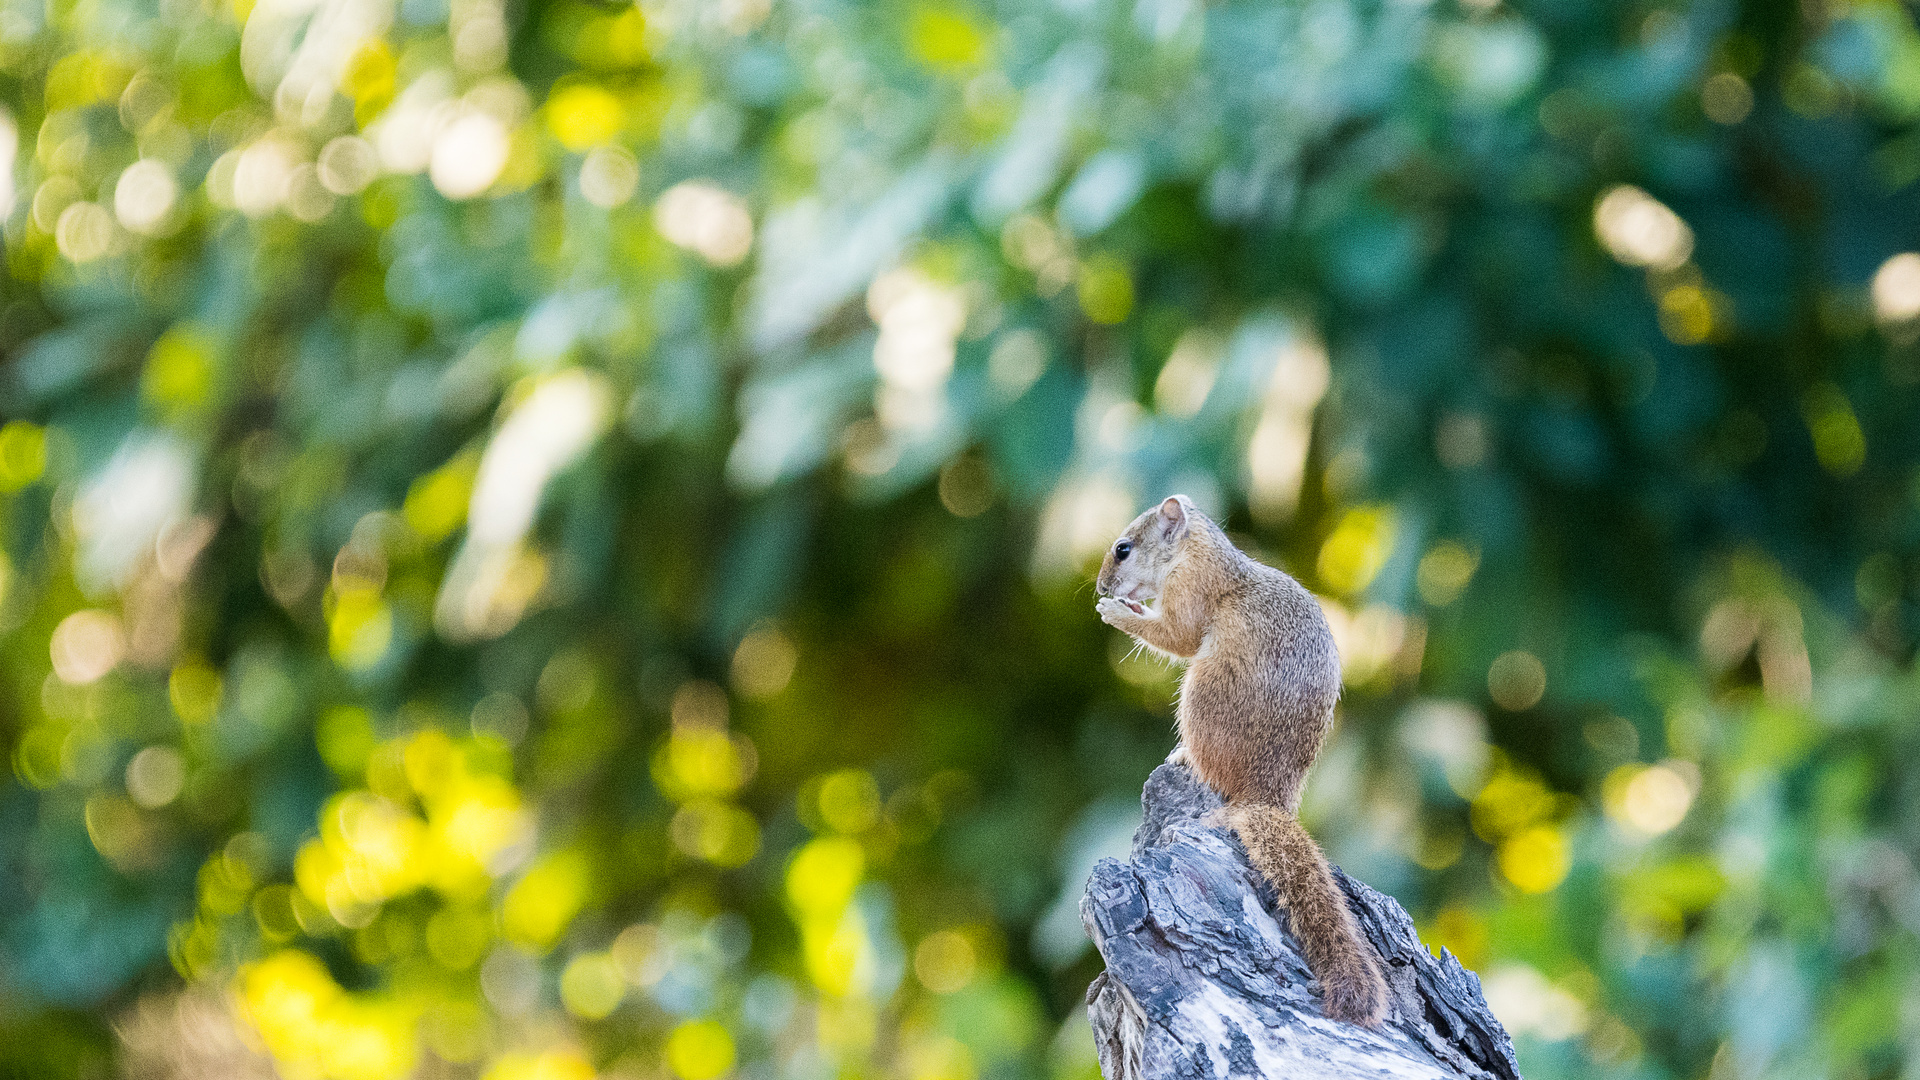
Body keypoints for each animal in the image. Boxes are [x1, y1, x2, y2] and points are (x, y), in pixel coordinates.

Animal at [1090, 491, 1390, 1022]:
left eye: (1124, 549)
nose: (1102, 585)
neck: (1198, 552)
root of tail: (1266, 796)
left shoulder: (1190, 592)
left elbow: (1177, 637)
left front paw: (1116, 611)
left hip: (1201, 692)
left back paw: (1186, 757)